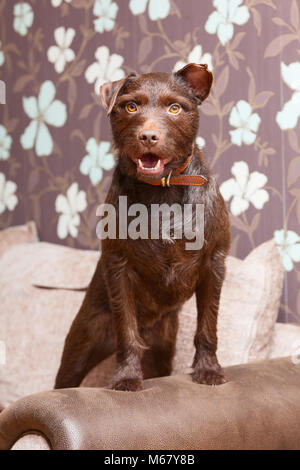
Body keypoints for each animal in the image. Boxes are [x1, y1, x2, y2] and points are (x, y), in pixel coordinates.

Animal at [55, 63, 231, 392]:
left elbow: (207, 325)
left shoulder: (214, 264)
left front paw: (208, 370)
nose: (148, 136)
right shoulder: (118, 268)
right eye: (131, 106)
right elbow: (127, 332)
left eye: (175, 108)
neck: (161, 190)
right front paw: (126, 376)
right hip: (84, 341)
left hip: (162, 349)